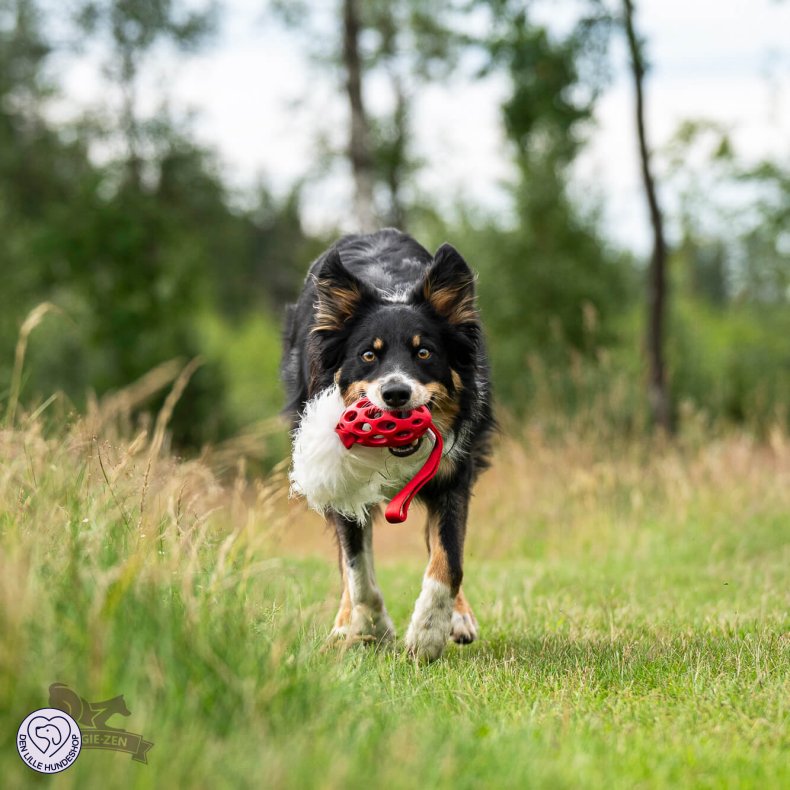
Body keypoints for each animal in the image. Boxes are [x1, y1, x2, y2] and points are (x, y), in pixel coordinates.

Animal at [284, 229, 496, 664]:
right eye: (368, 354)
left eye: (424, 352)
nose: (395, 393)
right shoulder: (341, 484)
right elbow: (356, 569)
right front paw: (371, 627)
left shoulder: (453, 476)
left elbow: (449, 559)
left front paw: (428, 632)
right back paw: (345, 625)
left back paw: (458, 618)